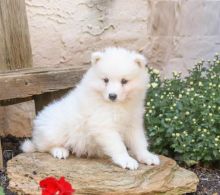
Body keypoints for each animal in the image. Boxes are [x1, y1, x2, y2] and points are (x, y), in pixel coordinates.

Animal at [21, 46, 160, 169]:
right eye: (105, 80)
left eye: (124, 81)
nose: (112, 95)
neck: (117, 105)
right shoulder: (103, 125)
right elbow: (118, 145)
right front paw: (126, 160)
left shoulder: (133, 122)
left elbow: (139, 142)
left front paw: (147, 156)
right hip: (54, 130)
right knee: (43, 146)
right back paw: (59, 151)